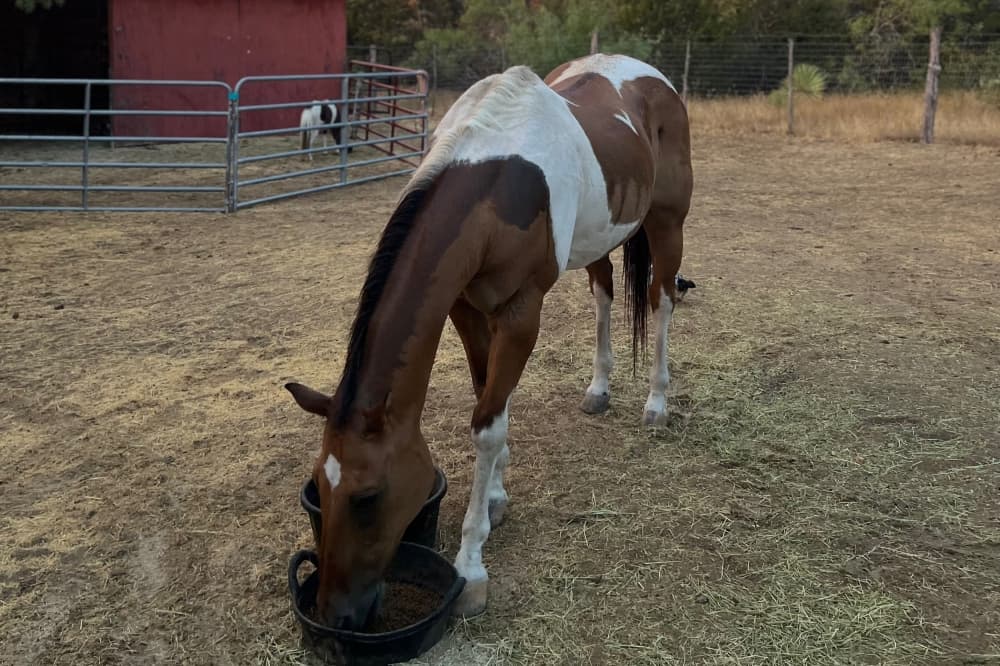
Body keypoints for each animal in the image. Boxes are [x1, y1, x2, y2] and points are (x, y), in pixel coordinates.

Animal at [285, 53, 693, 627]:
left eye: (368, 497)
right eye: (320, 488)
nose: (336, 614)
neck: (493, 179)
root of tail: (651, 76)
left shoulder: (521, 312)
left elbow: (487, 426)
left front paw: (471, 568)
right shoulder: (465, 307)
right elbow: (487, 401)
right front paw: (497, 494)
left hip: (666, 222)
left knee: (662, 302)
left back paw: (656, 401)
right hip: (600, 238)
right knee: (604, 296)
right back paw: (599, 389)